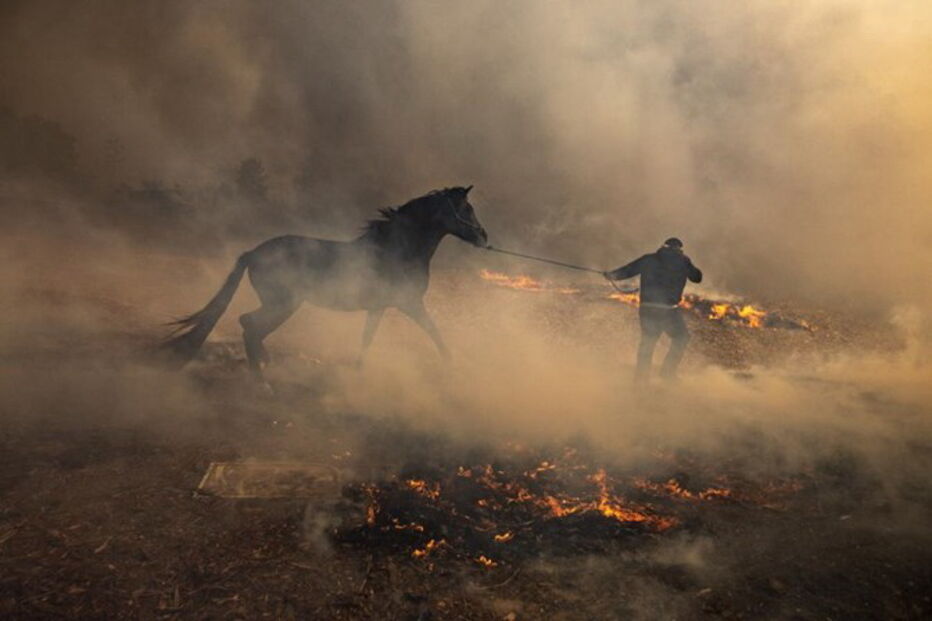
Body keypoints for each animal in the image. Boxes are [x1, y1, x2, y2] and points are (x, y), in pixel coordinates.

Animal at [164, 185, 488, 378]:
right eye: (467, 209)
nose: (484, 237)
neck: (397, 248)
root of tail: (253, 253)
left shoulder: (380, 307)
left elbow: (367, 338)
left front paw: (358, 370)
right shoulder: (409, 303)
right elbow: (435, 332)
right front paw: (452, 364)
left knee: (250, 326)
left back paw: (265, 367)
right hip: (284, 303)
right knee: (251, 326)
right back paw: (264, 381)